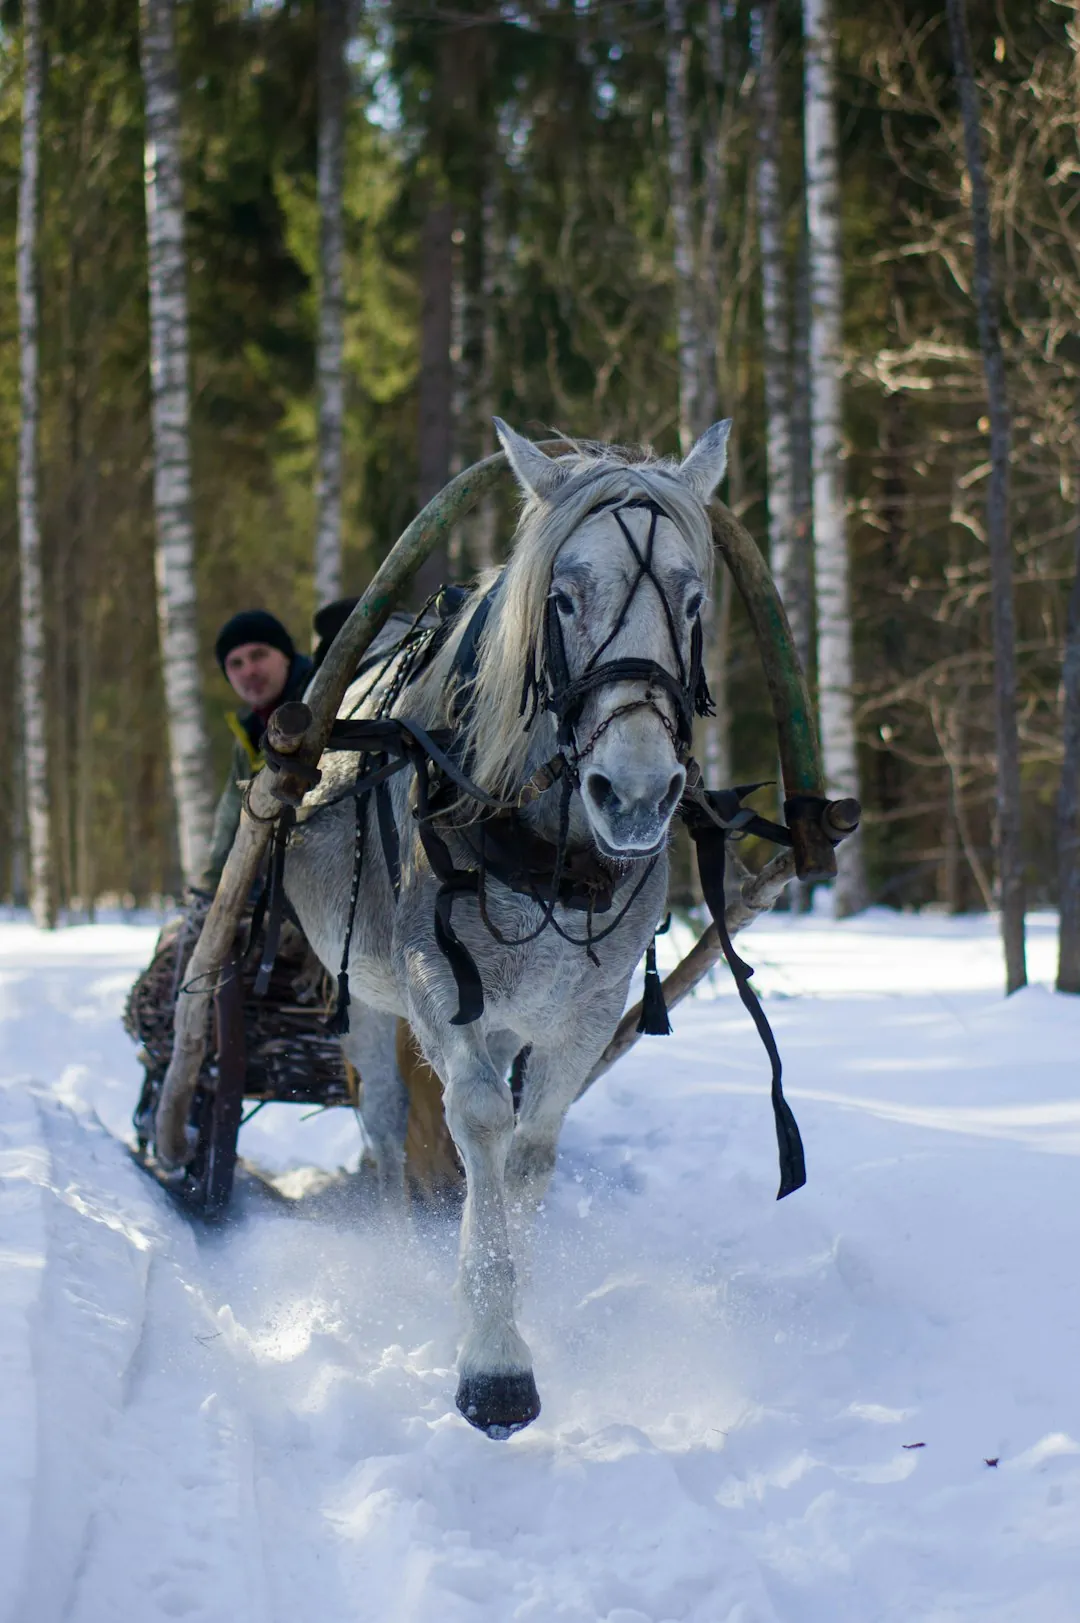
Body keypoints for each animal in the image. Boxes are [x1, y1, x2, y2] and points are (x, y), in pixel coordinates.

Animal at [282, 418, 731, 1438]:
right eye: (561, 598)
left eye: (692, 602)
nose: (635, 796)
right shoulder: (439, 985)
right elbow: (480, 1119)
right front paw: (492, 1356)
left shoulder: (586, 1009)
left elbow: (530, 1149)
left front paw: (518, 1294)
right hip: (364, 992)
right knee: (384, 1122)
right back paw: (401, 1248)